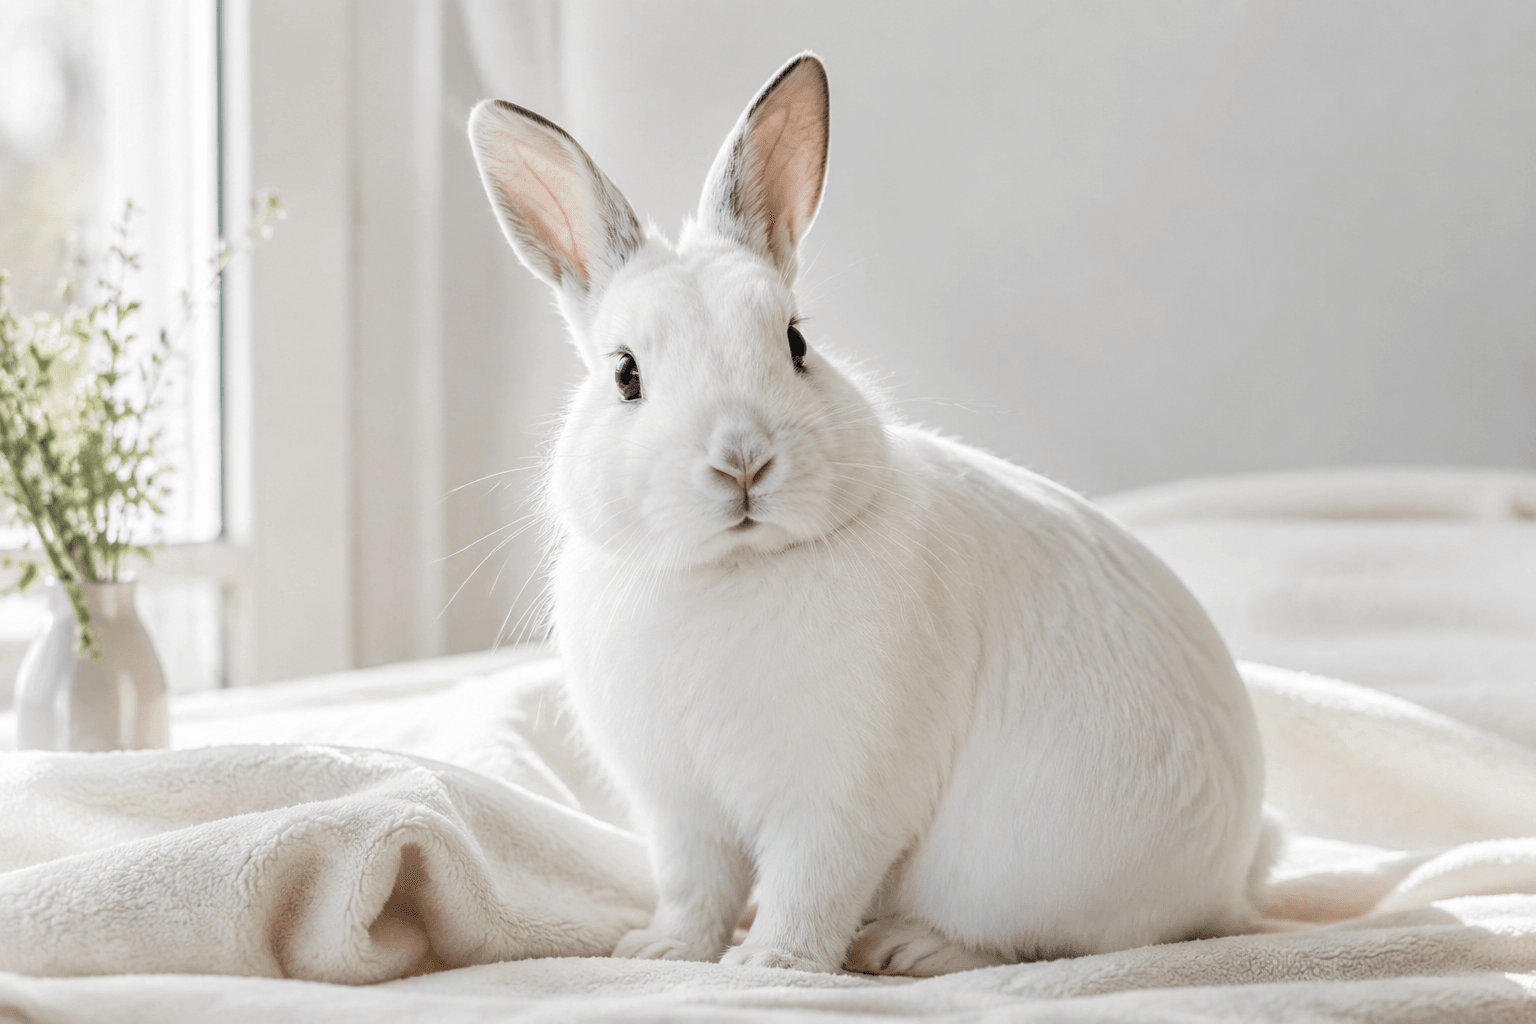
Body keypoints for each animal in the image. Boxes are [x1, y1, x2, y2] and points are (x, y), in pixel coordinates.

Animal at [466, 51, 1273, 977]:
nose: (743, 462)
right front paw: (663, 954)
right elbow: (696, 889)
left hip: (1029, 873)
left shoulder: (843, 796)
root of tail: (1226, 887)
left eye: (795, 344)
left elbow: (810, 884)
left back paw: (908, 949)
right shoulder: (681, 809)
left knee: (1045, 944)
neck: (733, 569)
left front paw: (772, 966)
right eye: (625, 375)